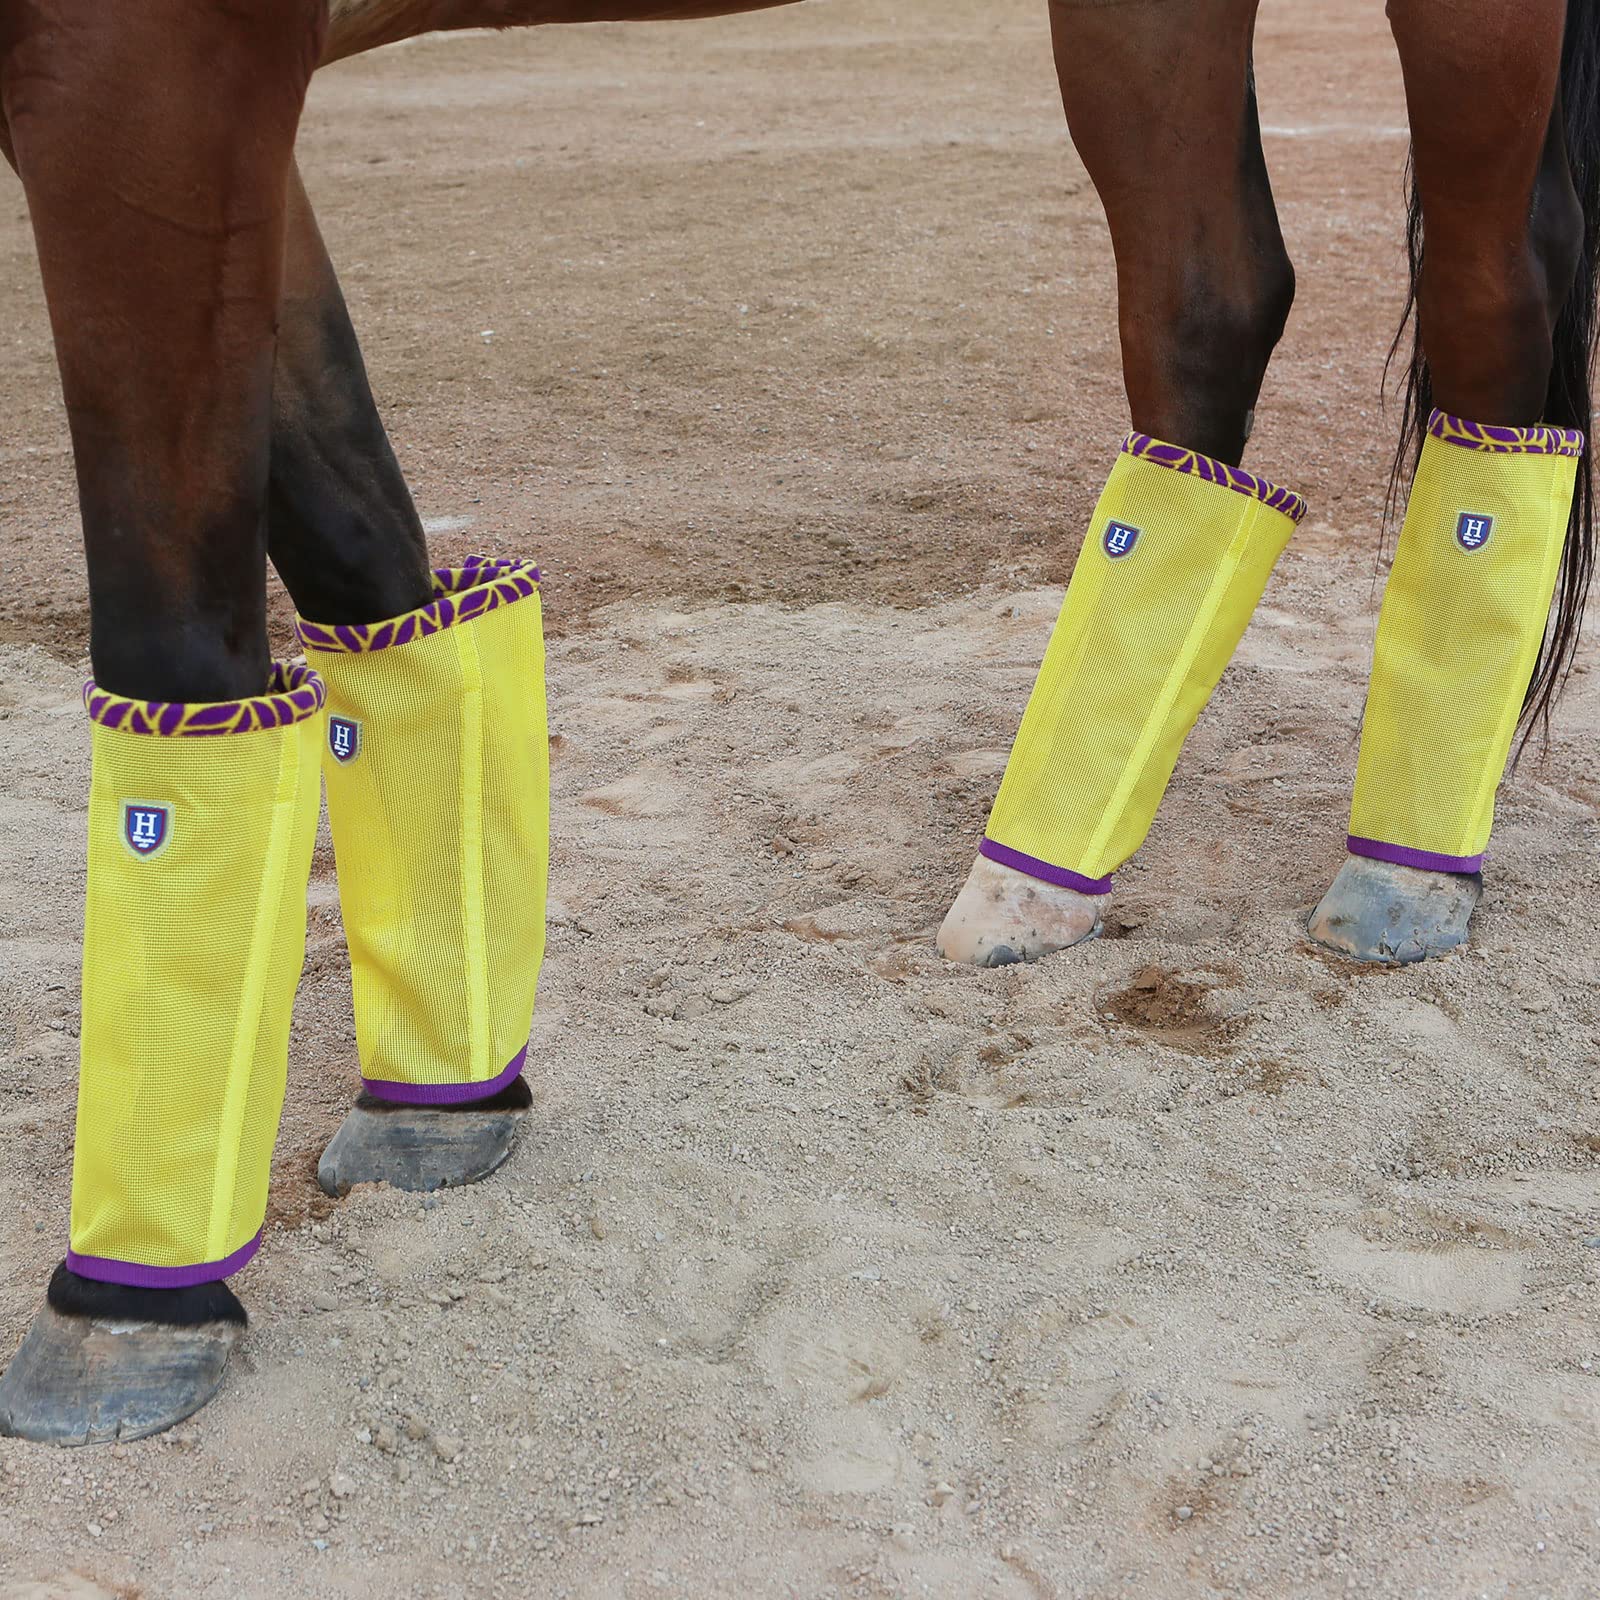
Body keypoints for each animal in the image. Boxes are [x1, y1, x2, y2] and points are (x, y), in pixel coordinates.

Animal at [0, 0, 1594, 1446]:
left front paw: (129, 1302)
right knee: (1210, 309)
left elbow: (177, 638)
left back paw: (1403, 868)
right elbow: (362, 554)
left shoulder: (154, 68)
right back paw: (1038, 877)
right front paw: (445, 1098)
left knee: (1489, 306)